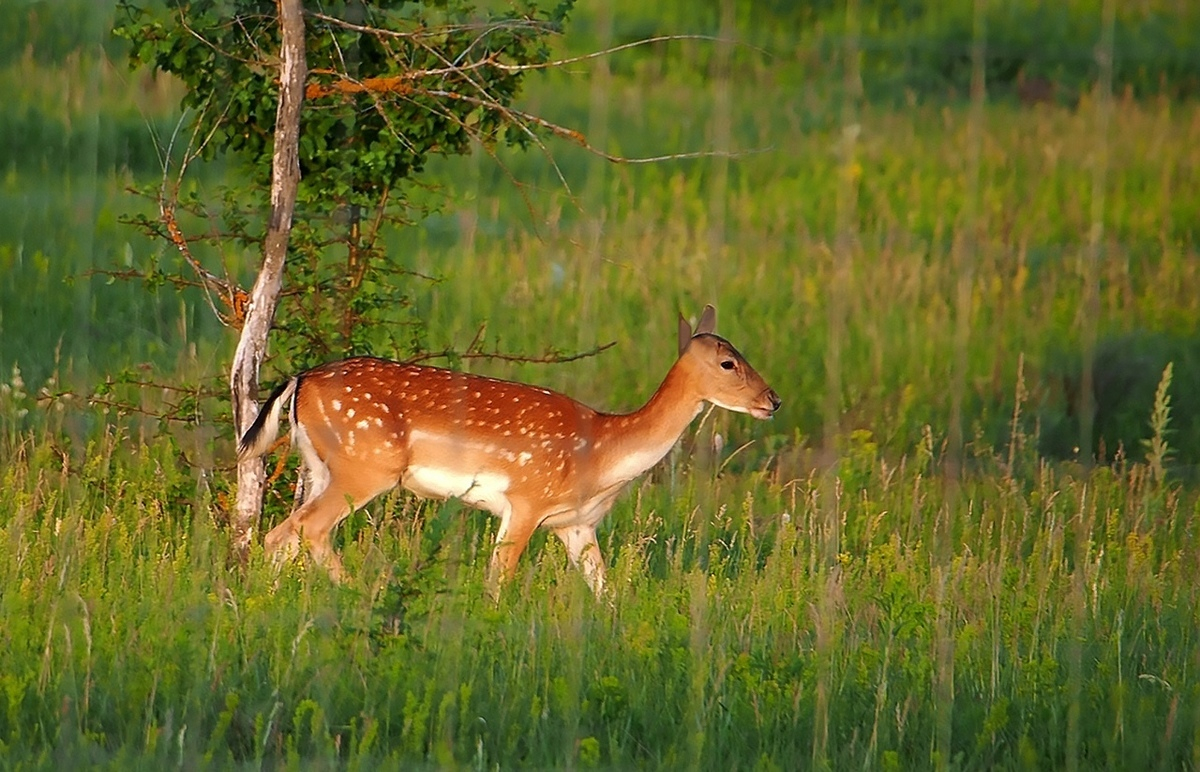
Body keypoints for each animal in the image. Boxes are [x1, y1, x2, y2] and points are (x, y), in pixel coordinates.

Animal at [236, 306, 777, 597]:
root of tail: (300, 379)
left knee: (282, 534)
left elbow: (607, 594)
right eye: (729, 363)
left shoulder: (576, 524)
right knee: (307, 530)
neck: (602, 453)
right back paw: (363, 594)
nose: (773, 400)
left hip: (322, 467)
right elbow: (499, 583)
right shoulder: (526, 500)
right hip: (365, 466)